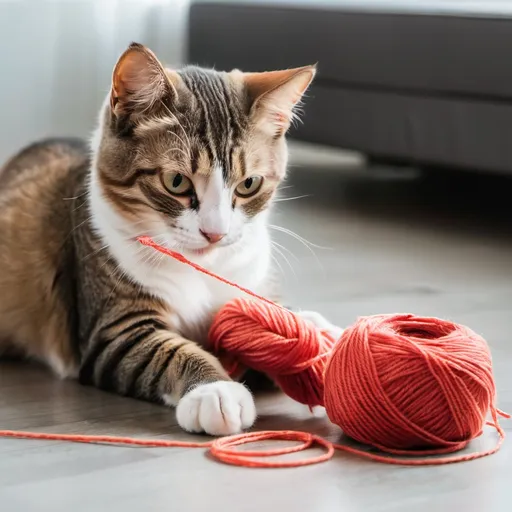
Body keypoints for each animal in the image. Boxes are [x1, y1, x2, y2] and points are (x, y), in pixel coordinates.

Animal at [0, 45, 340, 436]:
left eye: (249, 184)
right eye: (176, 182)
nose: (215, 233)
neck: (201, 267)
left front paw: (314, 329)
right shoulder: (113, 329)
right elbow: (167, 352)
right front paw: (215, 390)